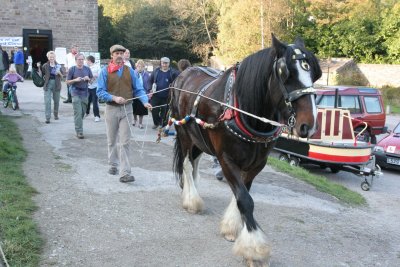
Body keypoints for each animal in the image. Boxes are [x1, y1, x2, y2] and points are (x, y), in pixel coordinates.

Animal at [169, 34, 322, 266]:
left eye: (314, 73)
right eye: (285, 73)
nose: (309, 125)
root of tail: (185, 72)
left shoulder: (257, 163)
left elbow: (243, 194)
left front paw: (232, 228)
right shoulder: (226, 159)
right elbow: (245, 200)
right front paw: (255, 250)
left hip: (199, 140)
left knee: (193, 164)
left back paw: (190, 190)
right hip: (184, 134)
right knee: (186, 164)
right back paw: (191, 200)